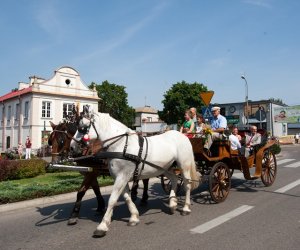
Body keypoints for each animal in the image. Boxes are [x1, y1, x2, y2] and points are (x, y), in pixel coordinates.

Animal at [71, 107, 199, 236]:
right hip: (166, 167)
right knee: (174, 179)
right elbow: (127, 197)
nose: (72, 147)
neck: (121, 145)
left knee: (187, 184)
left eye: (82, 127)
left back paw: (186, 208)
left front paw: (102, 226)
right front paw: (134, 217)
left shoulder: (122, 176)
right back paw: (172, 204)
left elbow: (113, 199)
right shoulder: (120, 177)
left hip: (184, 165)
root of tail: (182, 136)